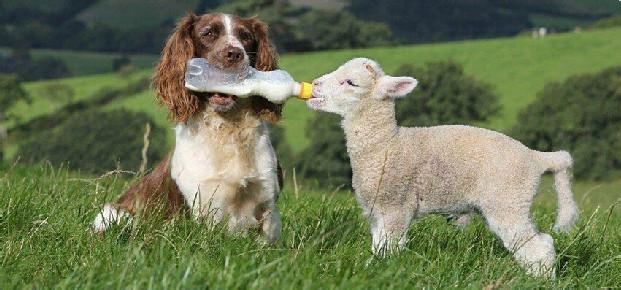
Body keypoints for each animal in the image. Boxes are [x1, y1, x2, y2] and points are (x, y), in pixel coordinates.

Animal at [92, 12, 284, 244]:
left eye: (246, 36)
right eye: (208, 33)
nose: (234, 54)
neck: (227, 128)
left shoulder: (267, 202)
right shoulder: (202, 207)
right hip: (115, 213)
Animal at [308, 57, 580, 278]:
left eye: (350, 82)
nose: (315, 85)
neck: (386, 144)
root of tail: (537, 157)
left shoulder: (396, 205)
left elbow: (388, 249)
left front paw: (378, 272)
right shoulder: (378, 210)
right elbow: (378, 246)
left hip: (507, 200)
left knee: (539, 246)